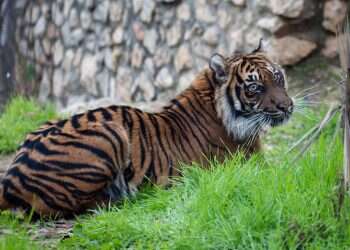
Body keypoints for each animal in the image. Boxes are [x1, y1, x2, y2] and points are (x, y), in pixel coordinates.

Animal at [0, 44, 292, 216]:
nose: (287, 106)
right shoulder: (248, 166)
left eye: (278, 77)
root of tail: (11, 178)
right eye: (255, 87)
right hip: (110, 134)